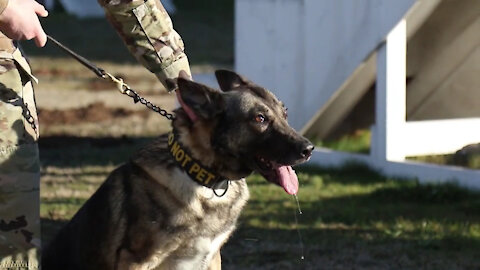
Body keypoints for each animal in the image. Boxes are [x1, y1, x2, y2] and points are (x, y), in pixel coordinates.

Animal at [43, 70, 314, 268]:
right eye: (260, 119)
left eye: (285, 113)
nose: (309, 149)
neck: (203, 179)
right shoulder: (136, 260)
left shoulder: (211, 258)